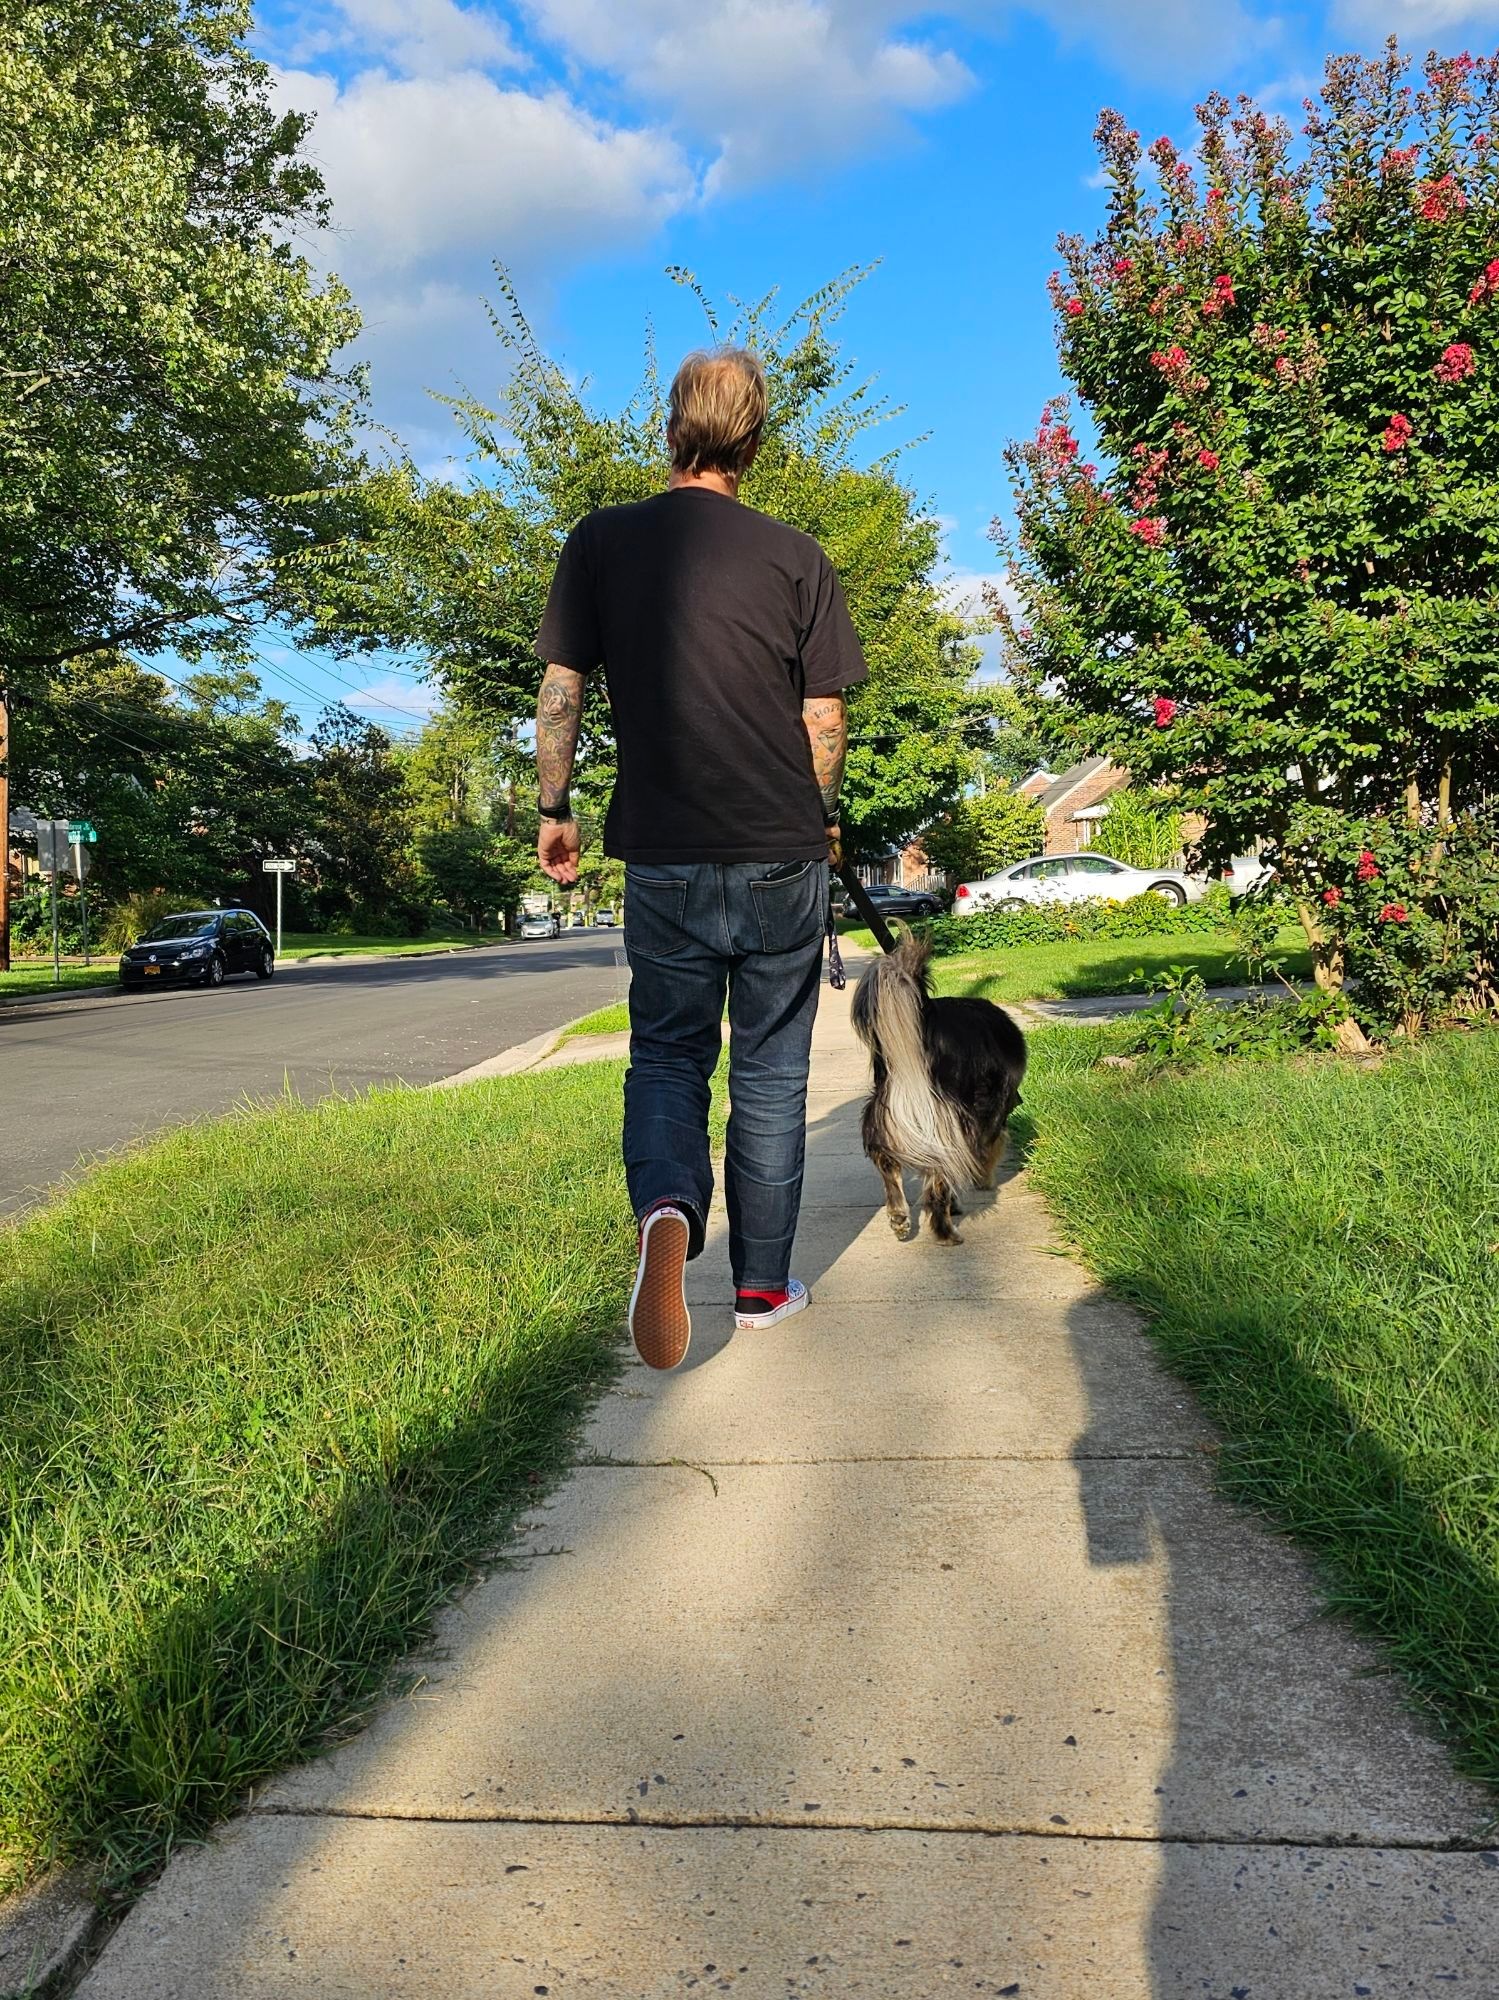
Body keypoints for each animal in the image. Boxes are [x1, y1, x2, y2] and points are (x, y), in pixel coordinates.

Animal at [855, 928, 1031, 1240]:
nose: (1019, 1100)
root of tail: (925, 1014)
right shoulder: (984, 1118)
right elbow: (984, 1152)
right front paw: (979, 1181)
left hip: (886, 1108)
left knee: (887, 1161)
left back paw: (899, 1216)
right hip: (951, 1118)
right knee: (938, 1177)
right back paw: (945, 1232)